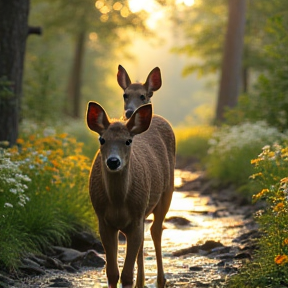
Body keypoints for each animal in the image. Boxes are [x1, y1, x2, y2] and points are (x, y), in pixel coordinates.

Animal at [86, 102, 176, 288]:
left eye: (128, 141)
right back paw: (141, 282)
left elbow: (127, 275)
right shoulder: (104, 221)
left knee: (156, 230)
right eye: (102, 139)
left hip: (167, 192)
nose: (113, 161)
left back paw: (161, 280)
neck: (117, 203)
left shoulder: (135, 219)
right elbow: (112, 273)